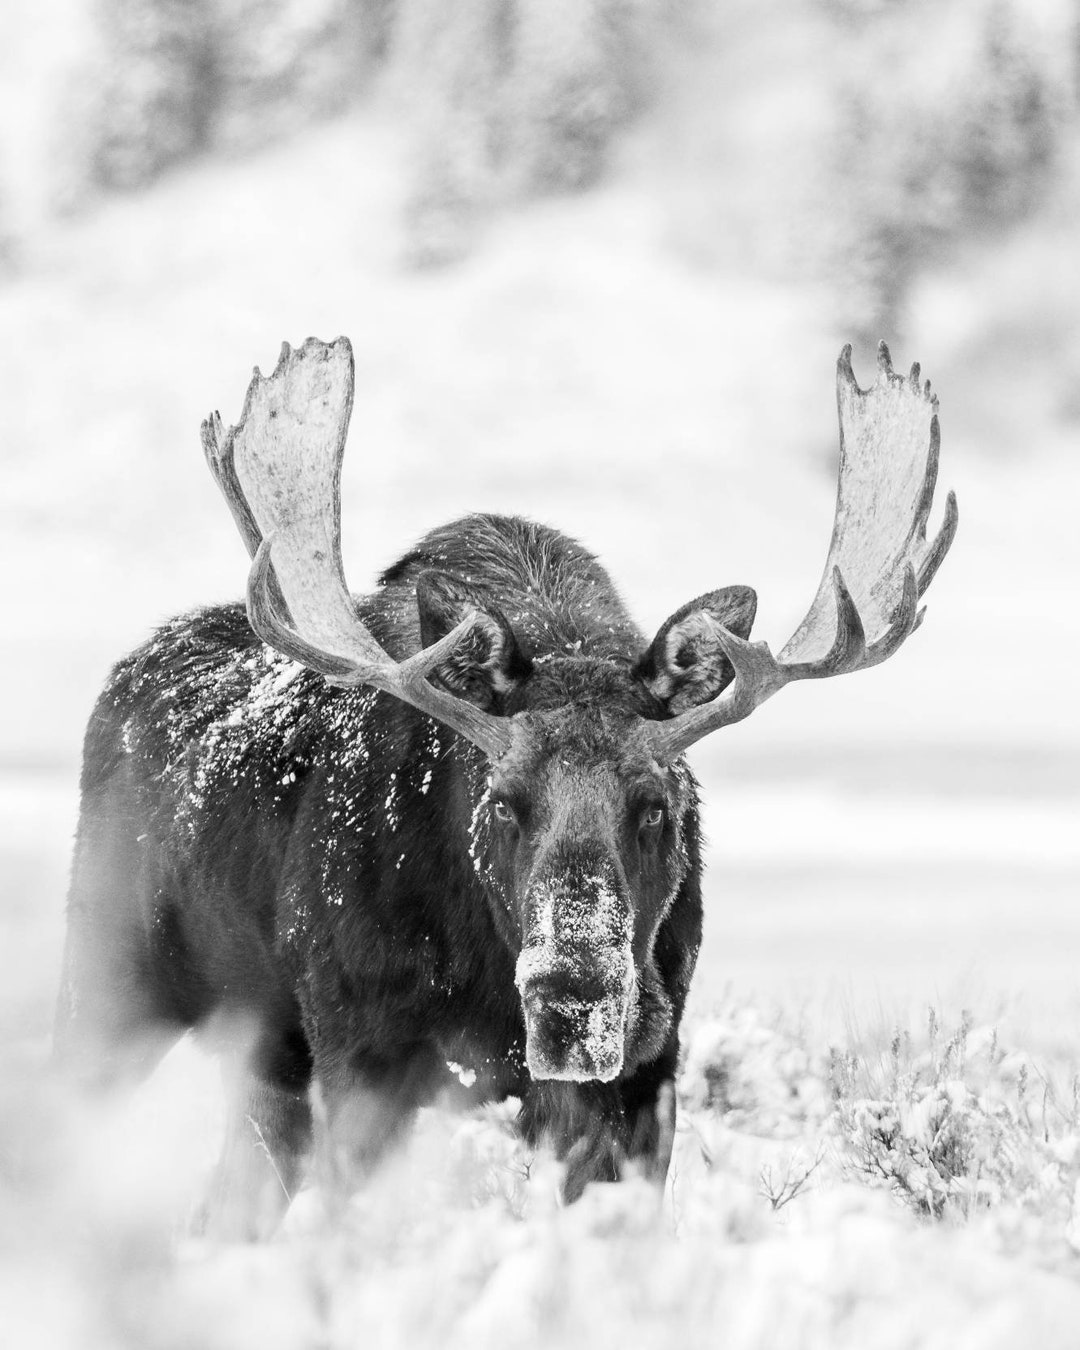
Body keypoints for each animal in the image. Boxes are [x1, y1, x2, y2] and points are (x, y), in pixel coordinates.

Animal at [55, 336, 956, 1234]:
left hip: (266, 1047)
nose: (573, 1004)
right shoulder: (362, 1051)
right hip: (116, 985)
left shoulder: (645, 1077)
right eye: (501, 802)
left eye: (657, 806)